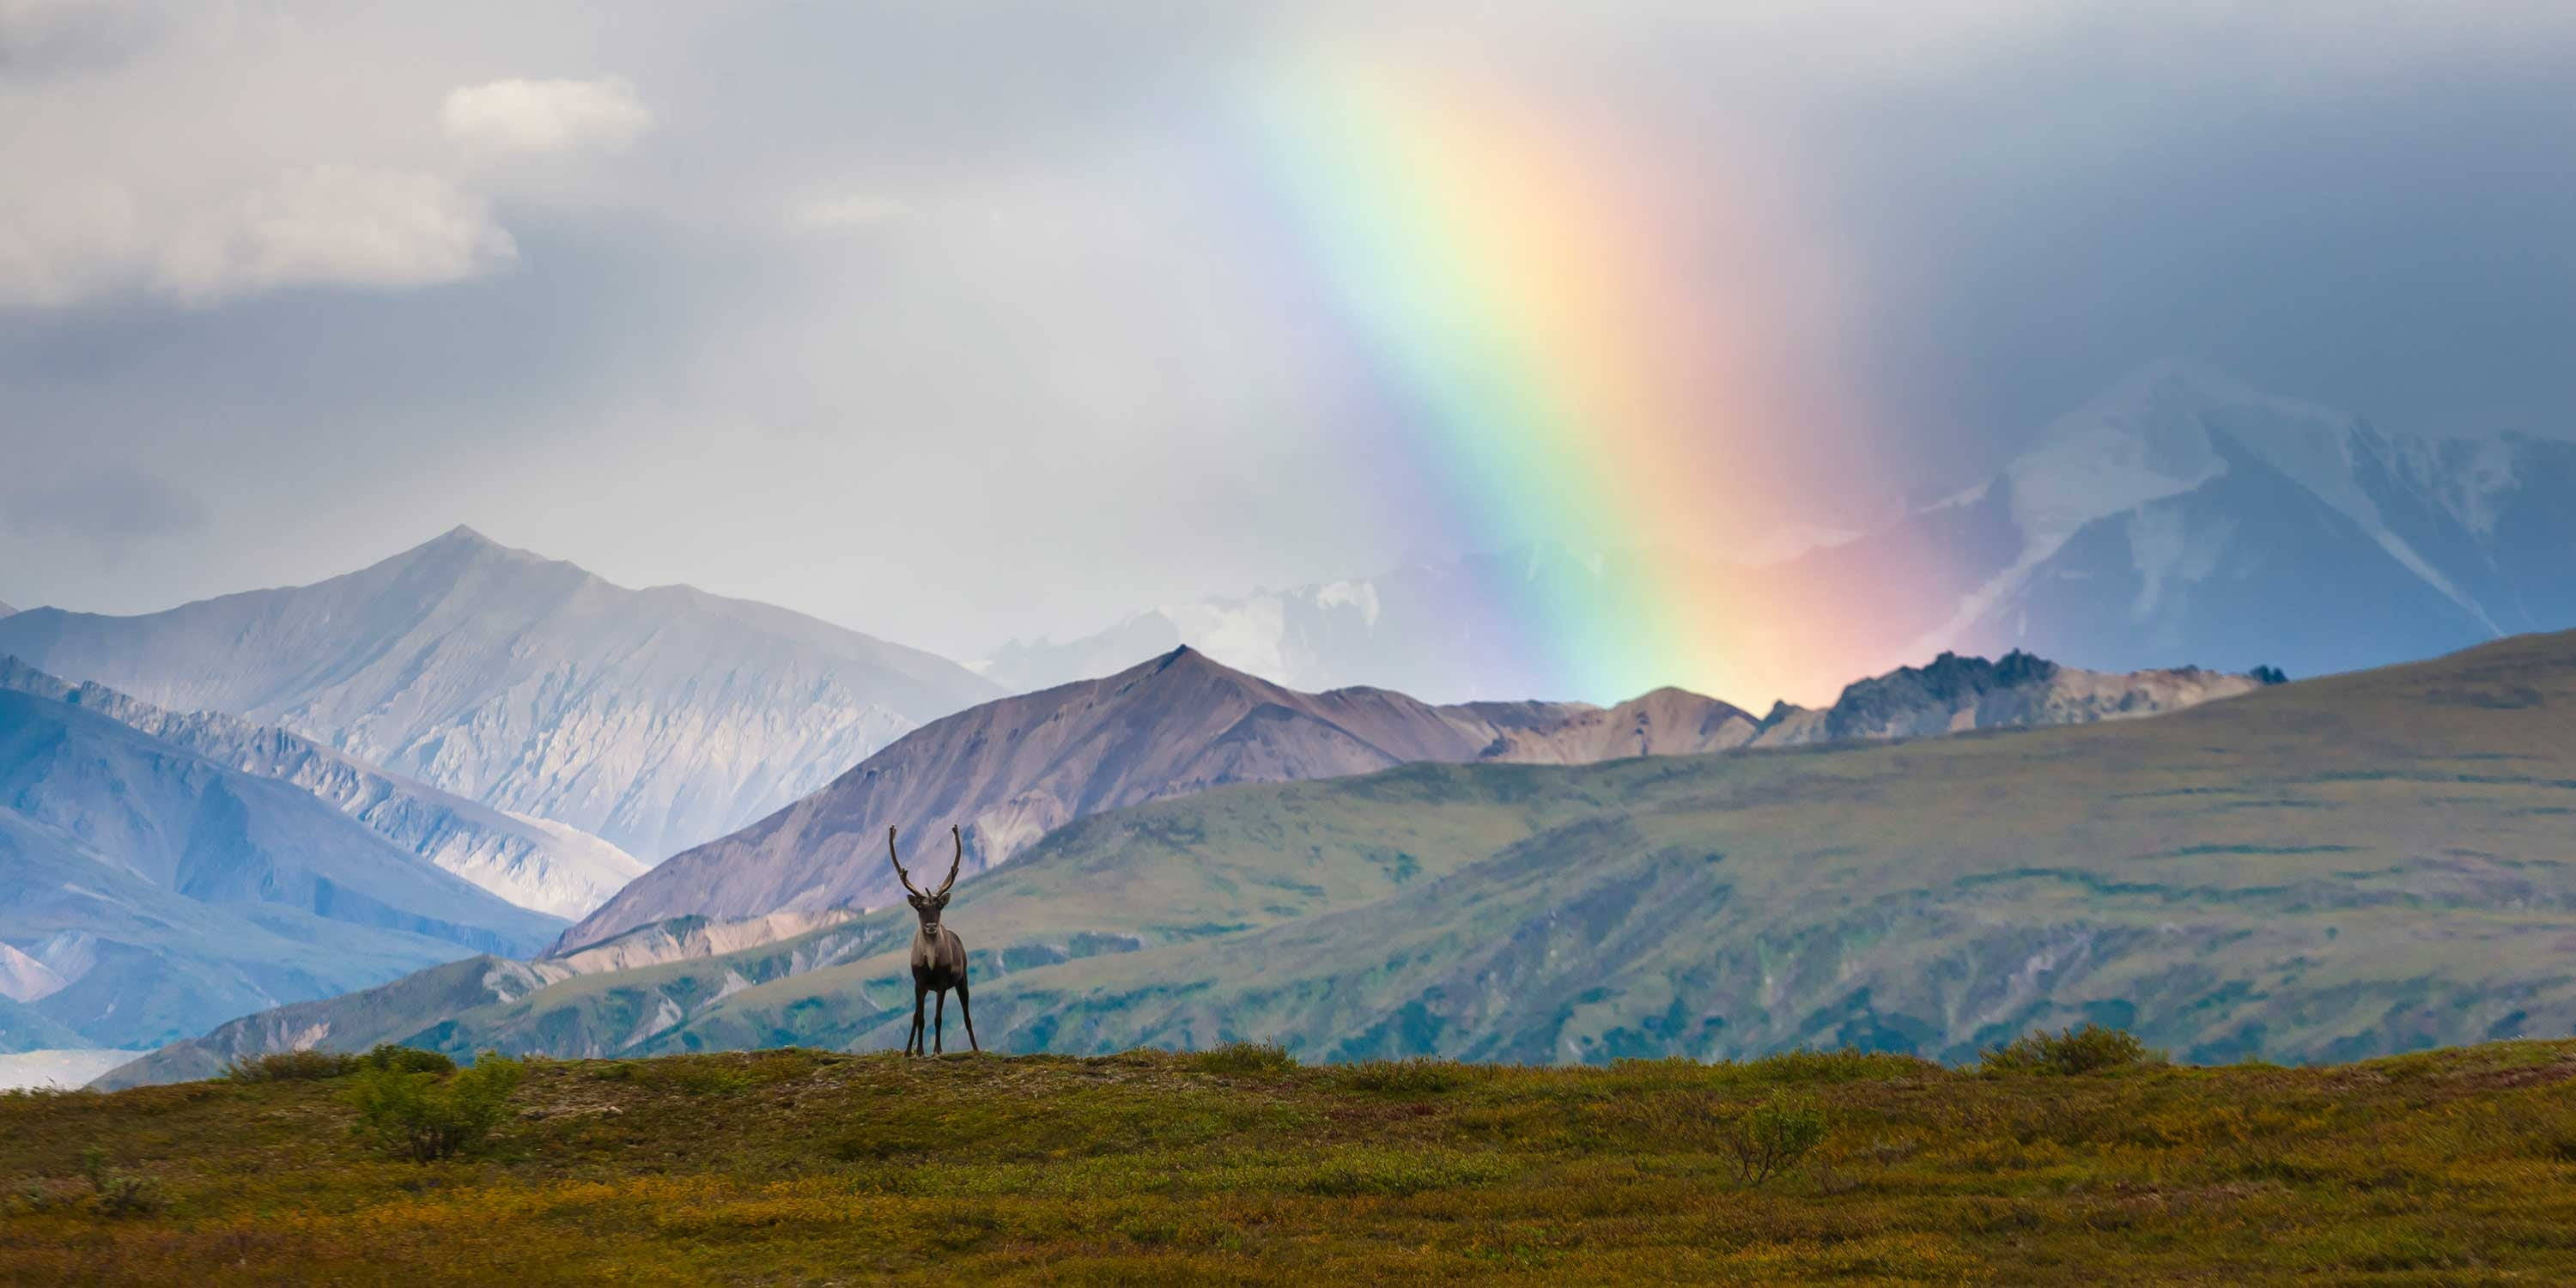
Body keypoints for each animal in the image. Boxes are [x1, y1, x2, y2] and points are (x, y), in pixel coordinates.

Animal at [887, 824, 977, 1056]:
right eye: (919, 907)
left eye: (939, 907)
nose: (930, 926)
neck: (930, 960)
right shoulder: (919, 982)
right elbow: (919, 1018)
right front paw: (917, 1051)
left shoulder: (943, 983)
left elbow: (937, 1018)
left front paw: (937, 1050)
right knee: (915, 1017)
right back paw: (907, 1051)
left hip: (962, 980)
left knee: (967, 1017)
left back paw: (976, 1048)